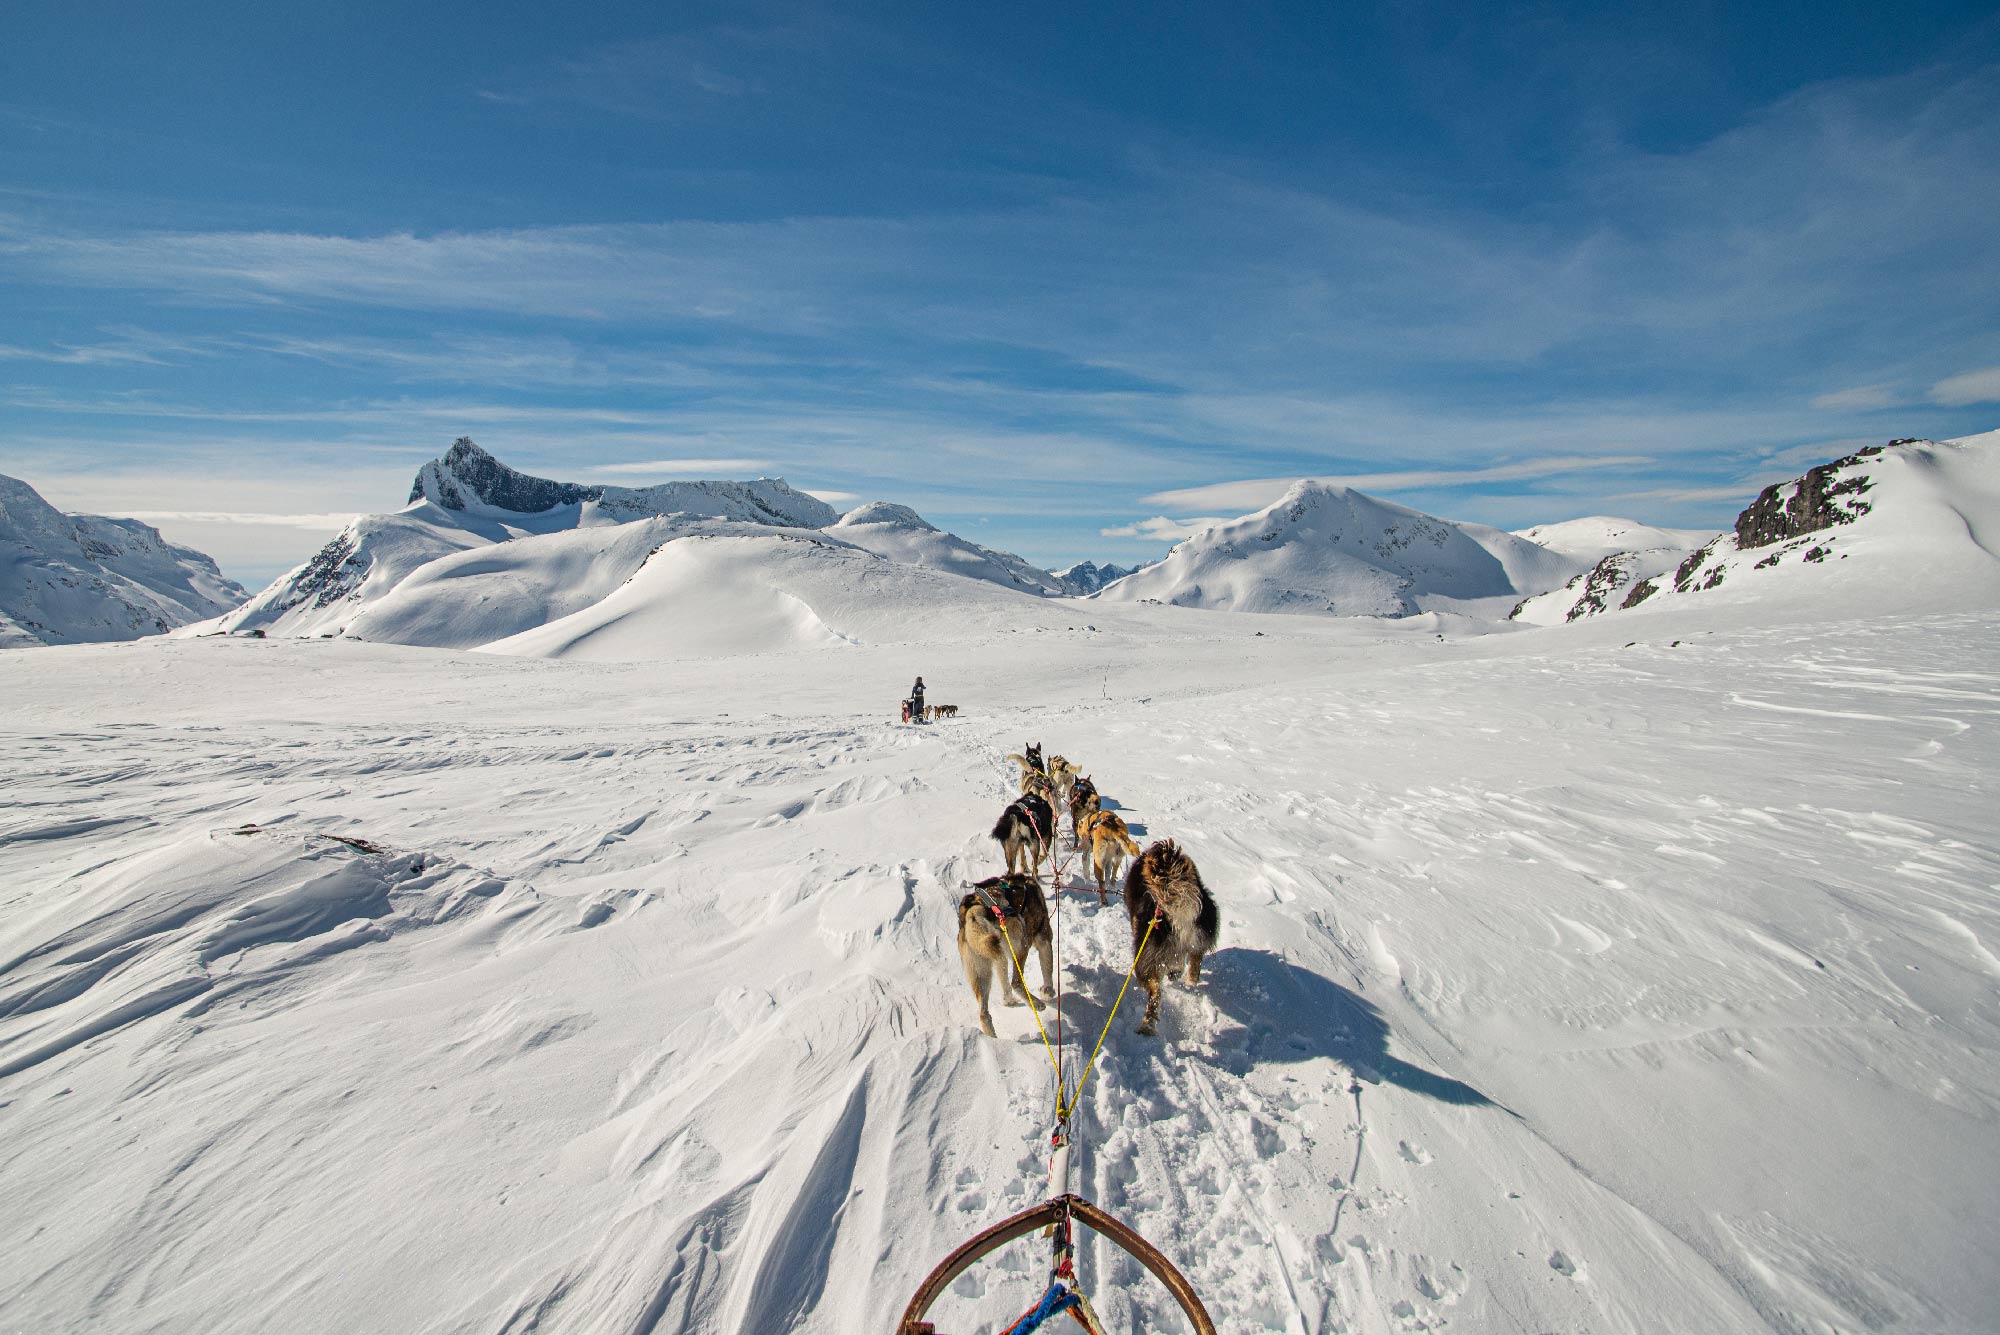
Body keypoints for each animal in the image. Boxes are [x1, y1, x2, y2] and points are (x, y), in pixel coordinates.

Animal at [956, 871, 1064, 1039]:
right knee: (1016, 982)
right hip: (1022, 944)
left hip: (982, 970)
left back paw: (993, 1040)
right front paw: (1048, 991)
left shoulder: (999, 958)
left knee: (984, 1013)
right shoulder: (1044, 940)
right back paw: (1037, 1004)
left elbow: (1003, 979)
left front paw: (1007, 1000)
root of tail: (973, 910)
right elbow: (1047, 971)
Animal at [1128, 839, 1216, 1039]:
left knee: (1155, 992)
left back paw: (1146, 1026)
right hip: (1200, 934)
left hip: (1145, 960)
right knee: (1194, 962)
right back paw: (1188, 981)